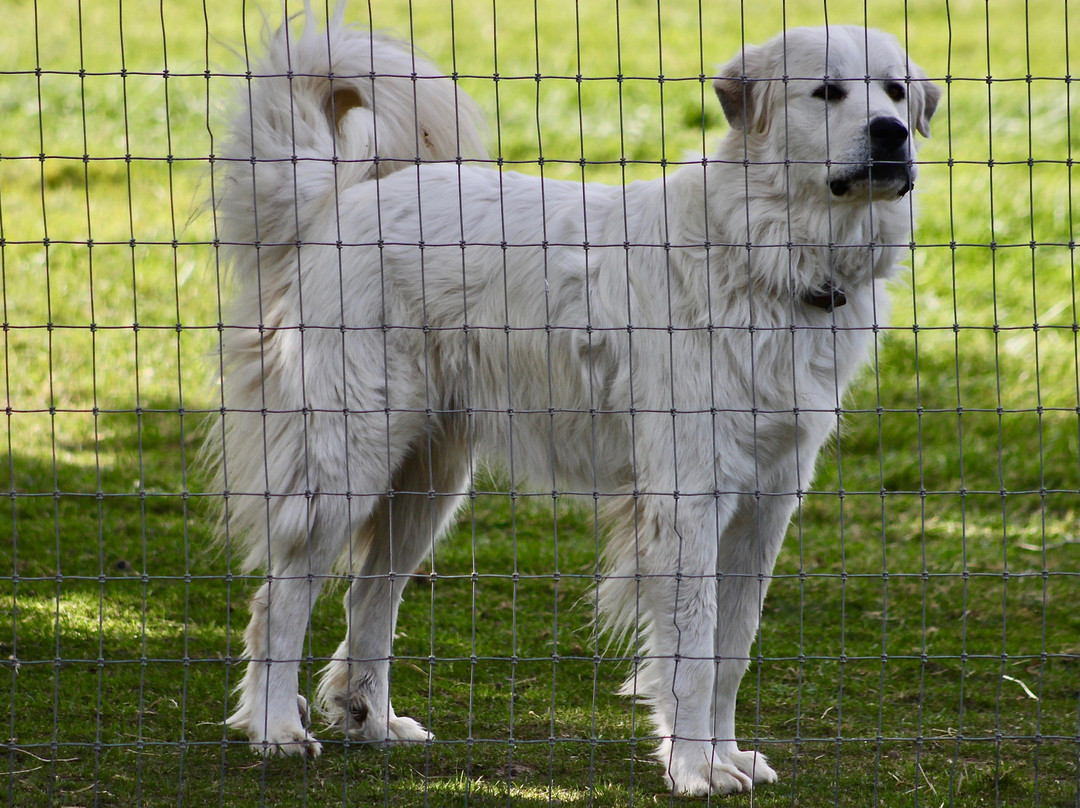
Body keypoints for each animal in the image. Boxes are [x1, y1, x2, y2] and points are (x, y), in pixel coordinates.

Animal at [210, 9, 937, 795]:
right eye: (828, 92)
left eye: (896, 92)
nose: (891, 133)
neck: (765, 249)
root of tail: (339, 201)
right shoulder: (690, 502)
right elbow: (693, 653)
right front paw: (693, 767)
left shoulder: (766, 504)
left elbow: (731, 648)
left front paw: (726, 755)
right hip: (349, 461)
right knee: (282, 597)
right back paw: (276, 730)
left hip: (428, 482)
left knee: (368, 595)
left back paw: (373, 723)